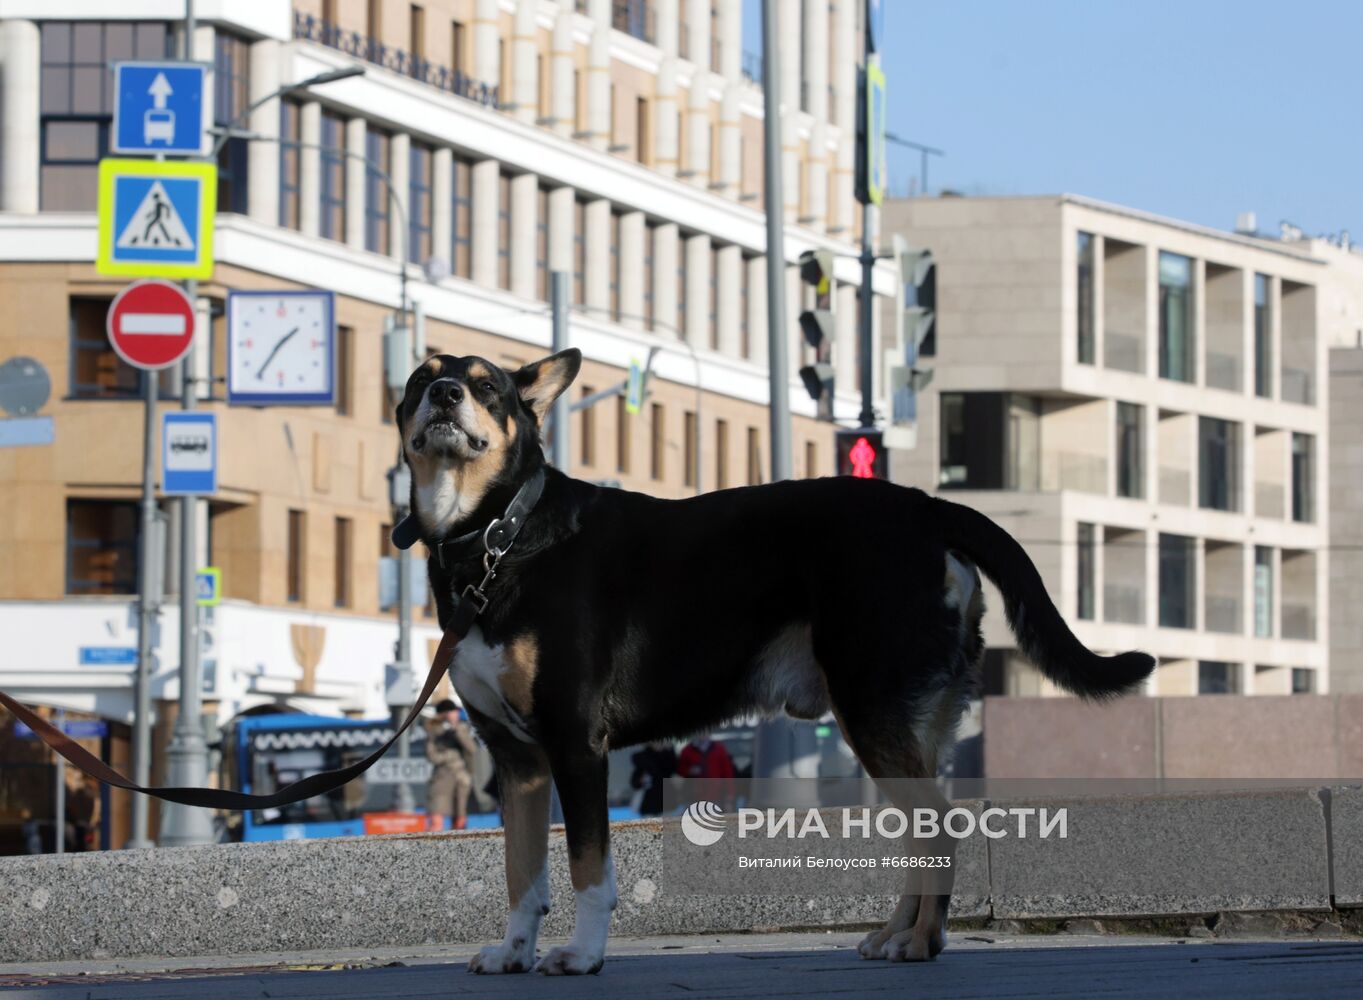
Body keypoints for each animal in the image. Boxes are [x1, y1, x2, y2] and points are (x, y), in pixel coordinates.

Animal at [389, 348, 1155, 975]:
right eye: (419, 380)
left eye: (486, 386)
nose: (447, 395)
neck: (497, 536)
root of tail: (926, 507)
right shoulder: (517, 761)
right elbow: (521, 872)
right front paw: (513, 952)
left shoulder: (576, 746)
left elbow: (586, 869)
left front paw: (580, 954)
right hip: (907, 722)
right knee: (921, 829)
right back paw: (901, 935)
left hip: (872, 708)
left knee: (938, 823)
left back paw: (918, 942)